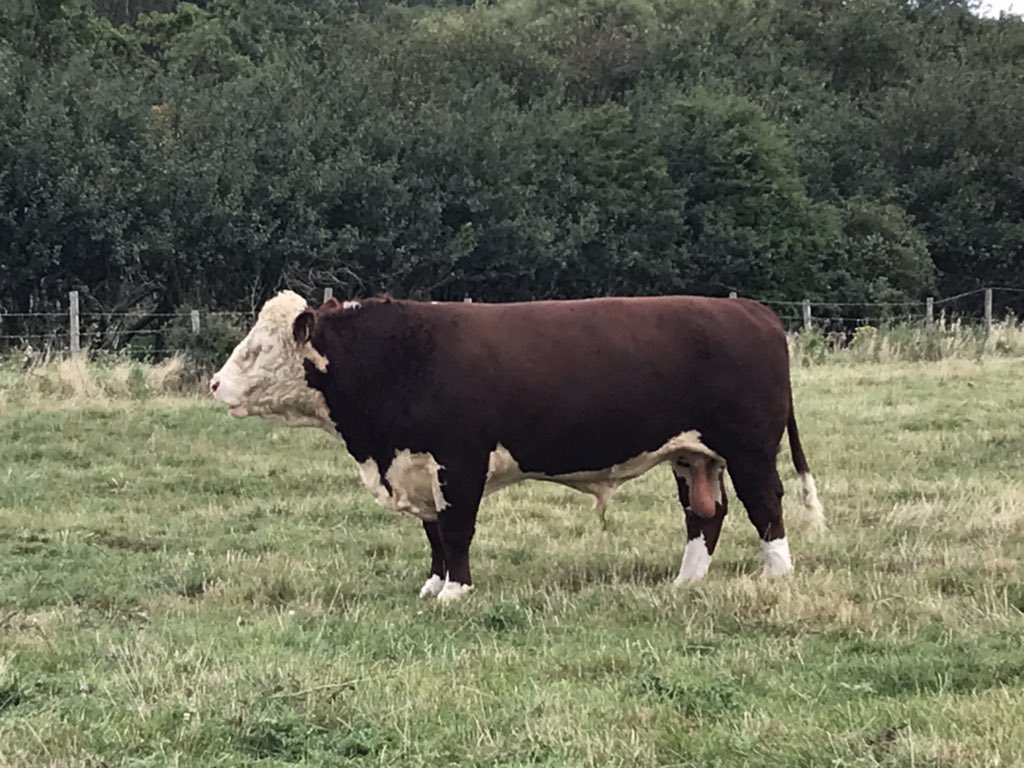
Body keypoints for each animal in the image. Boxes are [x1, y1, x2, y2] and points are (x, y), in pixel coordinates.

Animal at [209, 291, 824, 602]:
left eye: (256, 350)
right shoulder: (418, 466)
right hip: (692, 455)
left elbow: (456, 529)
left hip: (748, 447)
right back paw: (685, 583)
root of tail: (750, 309)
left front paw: (455, 593)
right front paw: (432, 585)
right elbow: (434, 533)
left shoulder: (459, 461)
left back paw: (776, 576)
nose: (215, 384)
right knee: (705, 514)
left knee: (765, 504)